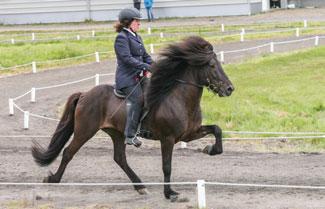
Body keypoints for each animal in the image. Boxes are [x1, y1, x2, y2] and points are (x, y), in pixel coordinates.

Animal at [32, 36, 233, 201]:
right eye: (212, 65)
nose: (230, 89)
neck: (178, 98)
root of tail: (84, 94)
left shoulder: (188, 134)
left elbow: (217, 129)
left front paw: (210, 149)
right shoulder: (167, 139)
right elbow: (166, 166)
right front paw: (170, 194)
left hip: (116, 133)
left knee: (119, 158)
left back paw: (140, 186)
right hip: (85, 130)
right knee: (68, 152)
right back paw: (52, 179)